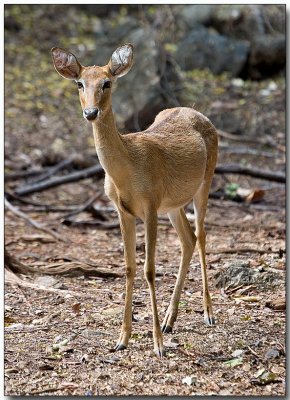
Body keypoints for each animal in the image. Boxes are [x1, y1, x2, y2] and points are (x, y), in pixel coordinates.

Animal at [51, 43, 218, 356]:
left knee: (201, 236)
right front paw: (122, 338)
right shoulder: (123, 211)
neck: (127, 170)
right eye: (79, 83)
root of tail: (199, 113)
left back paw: (208, 314)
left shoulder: (150, 205)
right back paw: (169, 319)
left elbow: (149, 270)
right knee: (188, 239)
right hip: (173, 204)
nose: (90, 112)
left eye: (107, 83)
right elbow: (129, 268)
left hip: (206, 180)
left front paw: (158, 345)